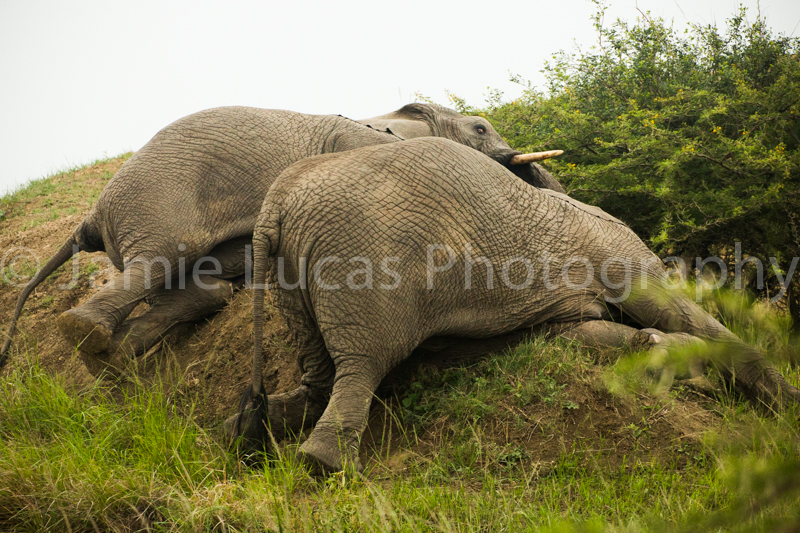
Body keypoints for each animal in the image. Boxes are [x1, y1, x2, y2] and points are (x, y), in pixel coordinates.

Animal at [0, 104, 564, 368]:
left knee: (203, 284)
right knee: (158, 261)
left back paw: (111, 359)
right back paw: (85, 335)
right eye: (480, 129)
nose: (517, 159)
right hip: (154, 203)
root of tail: (91, 216)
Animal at [230, 137, 799, 474]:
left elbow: (584, 333)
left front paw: (669, 355)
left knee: (321, 377)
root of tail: (275, 207)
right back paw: (325, 467)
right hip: (362, 262)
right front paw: (781, 402)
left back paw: (244, 432)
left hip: (288, 278)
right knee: (363, 364)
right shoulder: (617, 252)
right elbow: (667, 311)